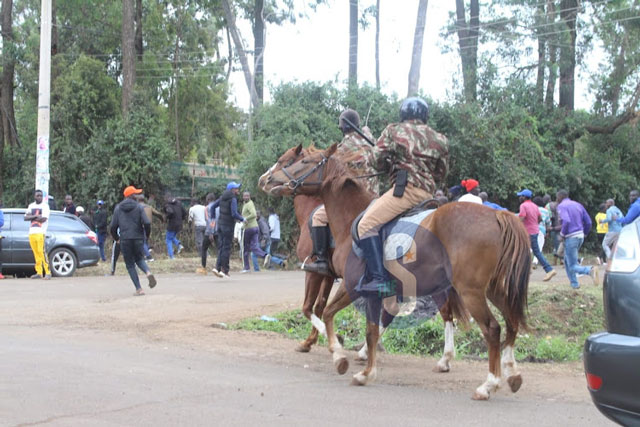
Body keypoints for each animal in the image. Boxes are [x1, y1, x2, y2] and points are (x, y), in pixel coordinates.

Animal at [258, 144, 532, 402]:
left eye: (299, 161)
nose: (266, 180)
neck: (349, 220)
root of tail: (498, 215)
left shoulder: (344, 283)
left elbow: (327, 314)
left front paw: (345, 359)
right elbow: (357, 320)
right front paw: (353, 359)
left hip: (471, 292)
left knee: (492, 329)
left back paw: (489, 384)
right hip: (494, 289)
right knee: (511, 323)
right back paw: (510, 372)